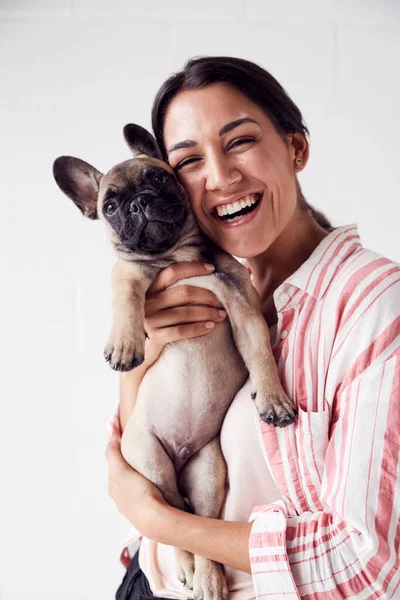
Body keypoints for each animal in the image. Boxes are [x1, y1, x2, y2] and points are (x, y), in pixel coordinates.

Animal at [53, 125, 296, 600]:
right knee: (170, 522)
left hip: (208, 471)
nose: (139, 202)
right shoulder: (128, 273)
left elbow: (260, 352)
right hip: (150, 461)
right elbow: (126, 294)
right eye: (109, 207)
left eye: (161, 178)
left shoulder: (243, 309)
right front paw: (125, 343)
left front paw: (272, 398)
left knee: (194, 523)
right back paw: (190, 570)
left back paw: (209, 578)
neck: (179, 254)